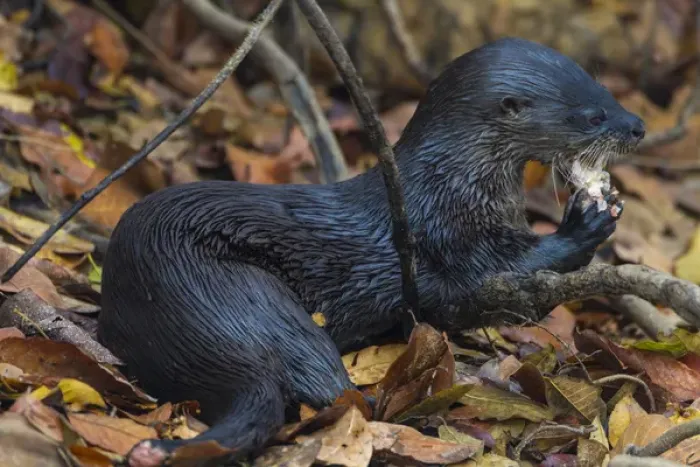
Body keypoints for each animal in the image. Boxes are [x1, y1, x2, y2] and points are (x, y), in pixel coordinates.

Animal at [97, 38, 644, 462]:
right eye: (592, 115)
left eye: (605, 90)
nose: (637, 125)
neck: (453, 184)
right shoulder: (449, 234)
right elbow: (500, 279)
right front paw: (587, 221)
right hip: (238, 293)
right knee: (329, 390)